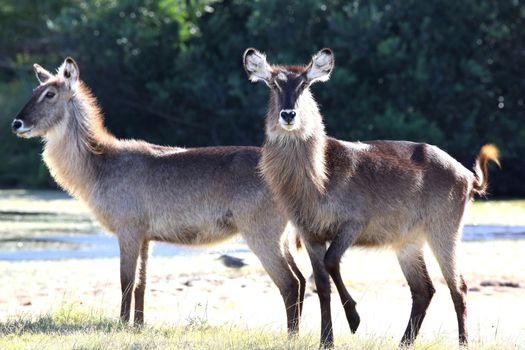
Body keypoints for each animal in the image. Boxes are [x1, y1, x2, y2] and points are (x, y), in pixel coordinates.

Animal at [10, 58, 304, 334]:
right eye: (35, 90)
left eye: (50, 94)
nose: (16, 123)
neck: (100, 164)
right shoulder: (145, 236)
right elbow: (141, 283)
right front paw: (138, 325)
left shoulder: (128, 230)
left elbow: (126, 281)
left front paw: (121, 325)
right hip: (281, 238)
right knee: (301, 280)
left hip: (262, 234)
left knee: (289, 283)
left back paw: (291, 336)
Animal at [244, 47, 498, 346]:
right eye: (273, 84)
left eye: (304, 84)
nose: (288, 114)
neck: (319, 177)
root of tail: (468, 175)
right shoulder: (309, 233)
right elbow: (322, 284)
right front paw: (326, 340)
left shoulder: (354, 223)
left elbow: (331, 262)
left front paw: (354, 319)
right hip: (408, 241)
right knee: (424, 290)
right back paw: (403, 343)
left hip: (444, 231)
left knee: (458, 286)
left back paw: (461, 342)